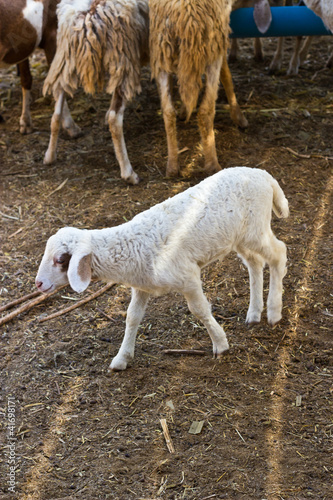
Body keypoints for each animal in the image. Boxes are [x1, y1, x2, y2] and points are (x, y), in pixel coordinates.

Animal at [35, 168, 288, 372]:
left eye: (60, 259)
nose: (38, 284)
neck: (130, 248)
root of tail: (265, 176)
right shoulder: (141, 286)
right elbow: (132, 317)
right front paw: (121, 359)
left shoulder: (187, 276)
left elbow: (199, 310)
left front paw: (220, 344)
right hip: (240, 237)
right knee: (255, 263)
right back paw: (254, 313)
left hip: (255, 228)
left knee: (279, 253)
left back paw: (274, 311)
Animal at [42, 0, 148, 185]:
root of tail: (88, 14)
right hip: (123, 60)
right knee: (115, 118)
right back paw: (129, 173)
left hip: (64, 59)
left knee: (56, 112)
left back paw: (50, 156)